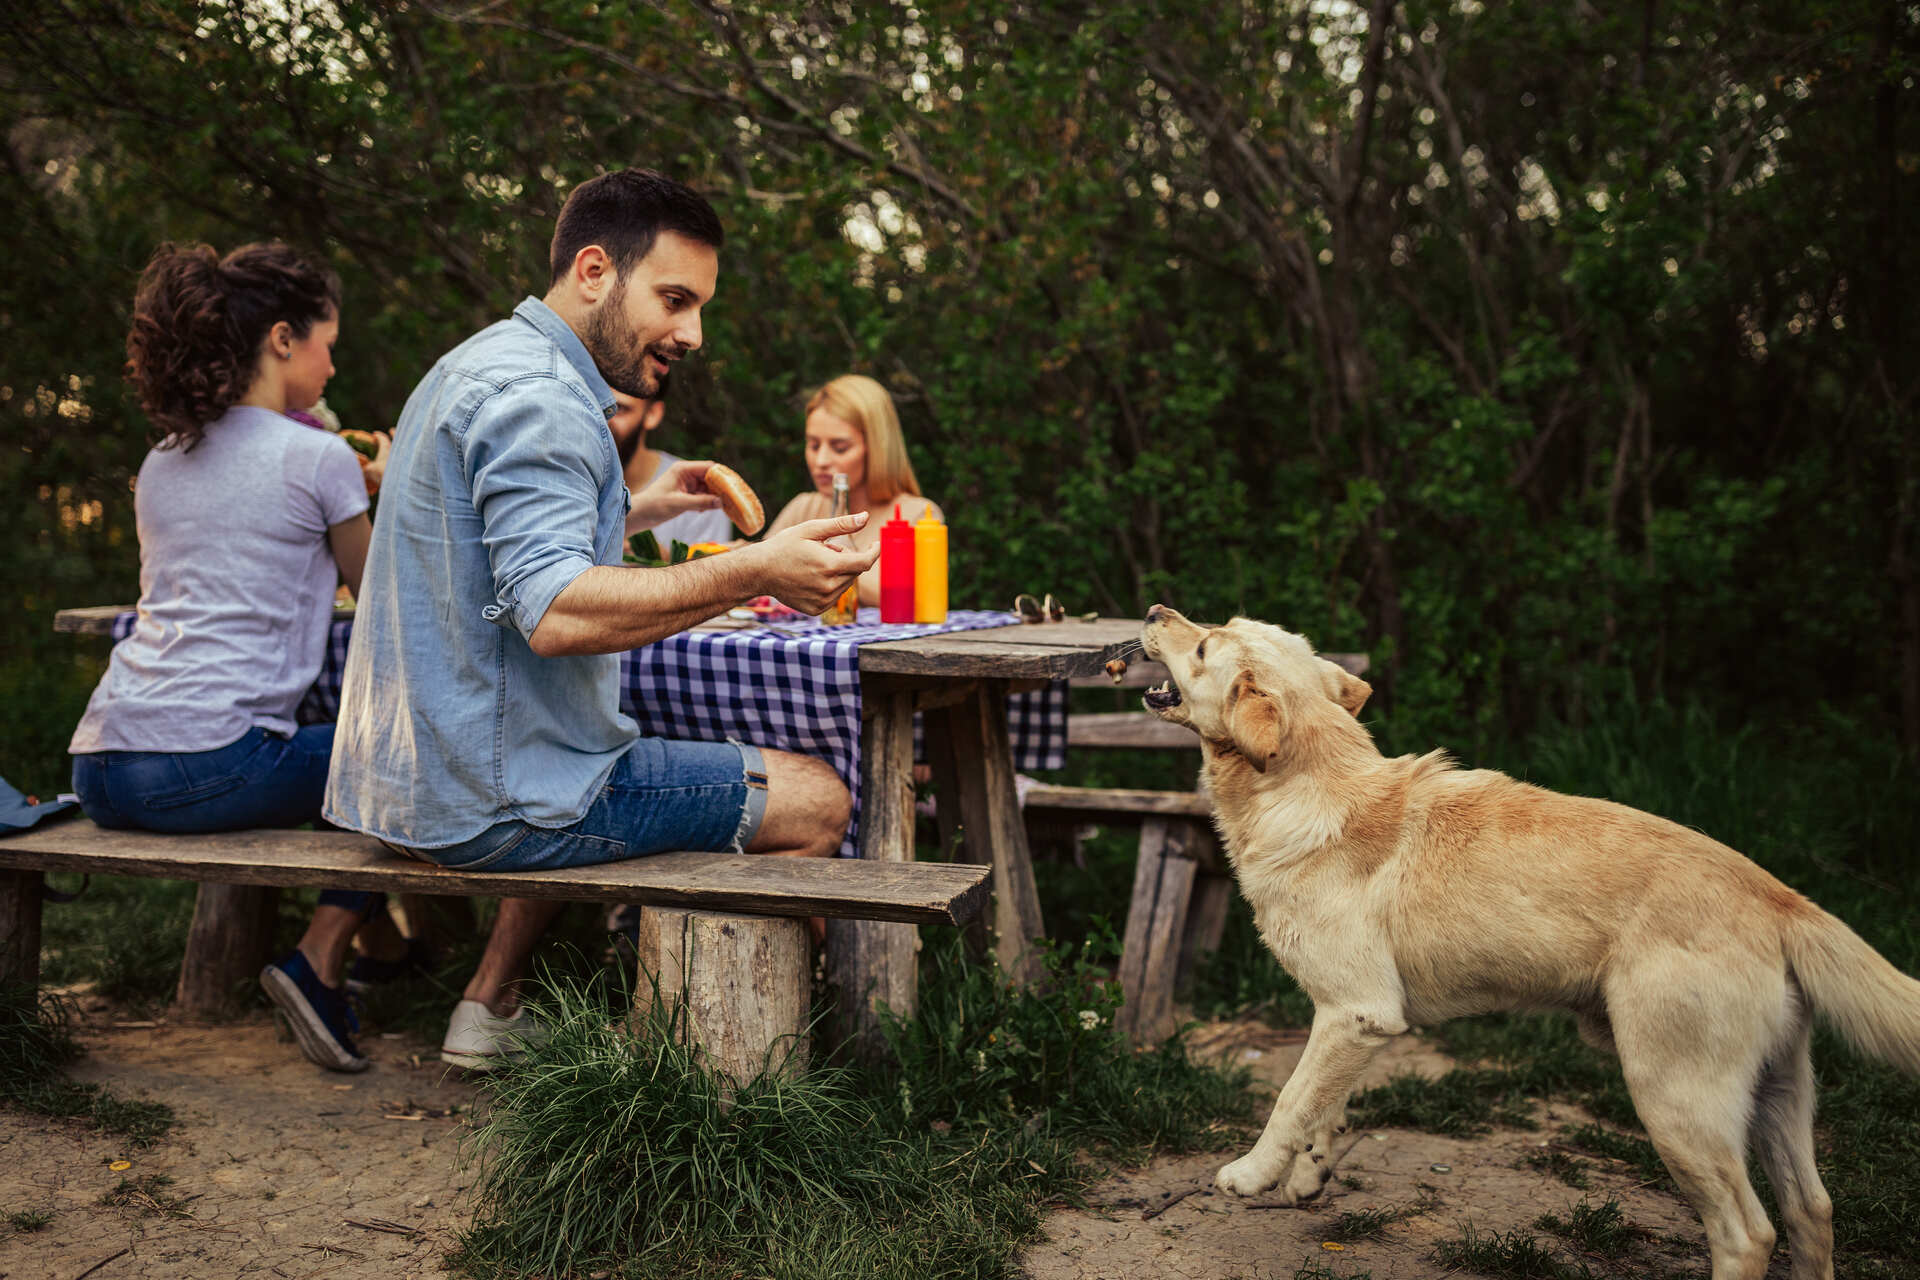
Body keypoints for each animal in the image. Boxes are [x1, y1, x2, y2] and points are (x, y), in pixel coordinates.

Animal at [1136, 610, 1920, 1280]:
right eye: (1219, 626)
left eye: (1204, 645)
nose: (1152, 610)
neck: (1308, 786)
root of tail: (1778, 897)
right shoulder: (1356, 1020)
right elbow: (1325, 1102)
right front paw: (1309, 1175)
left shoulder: (1354, 1010)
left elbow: (1289, 1102)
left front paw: (1252, 1175)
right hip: (1777, 1094)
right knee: (1812, 1210)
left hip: (1676, 1101)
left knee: (1747, 1233)